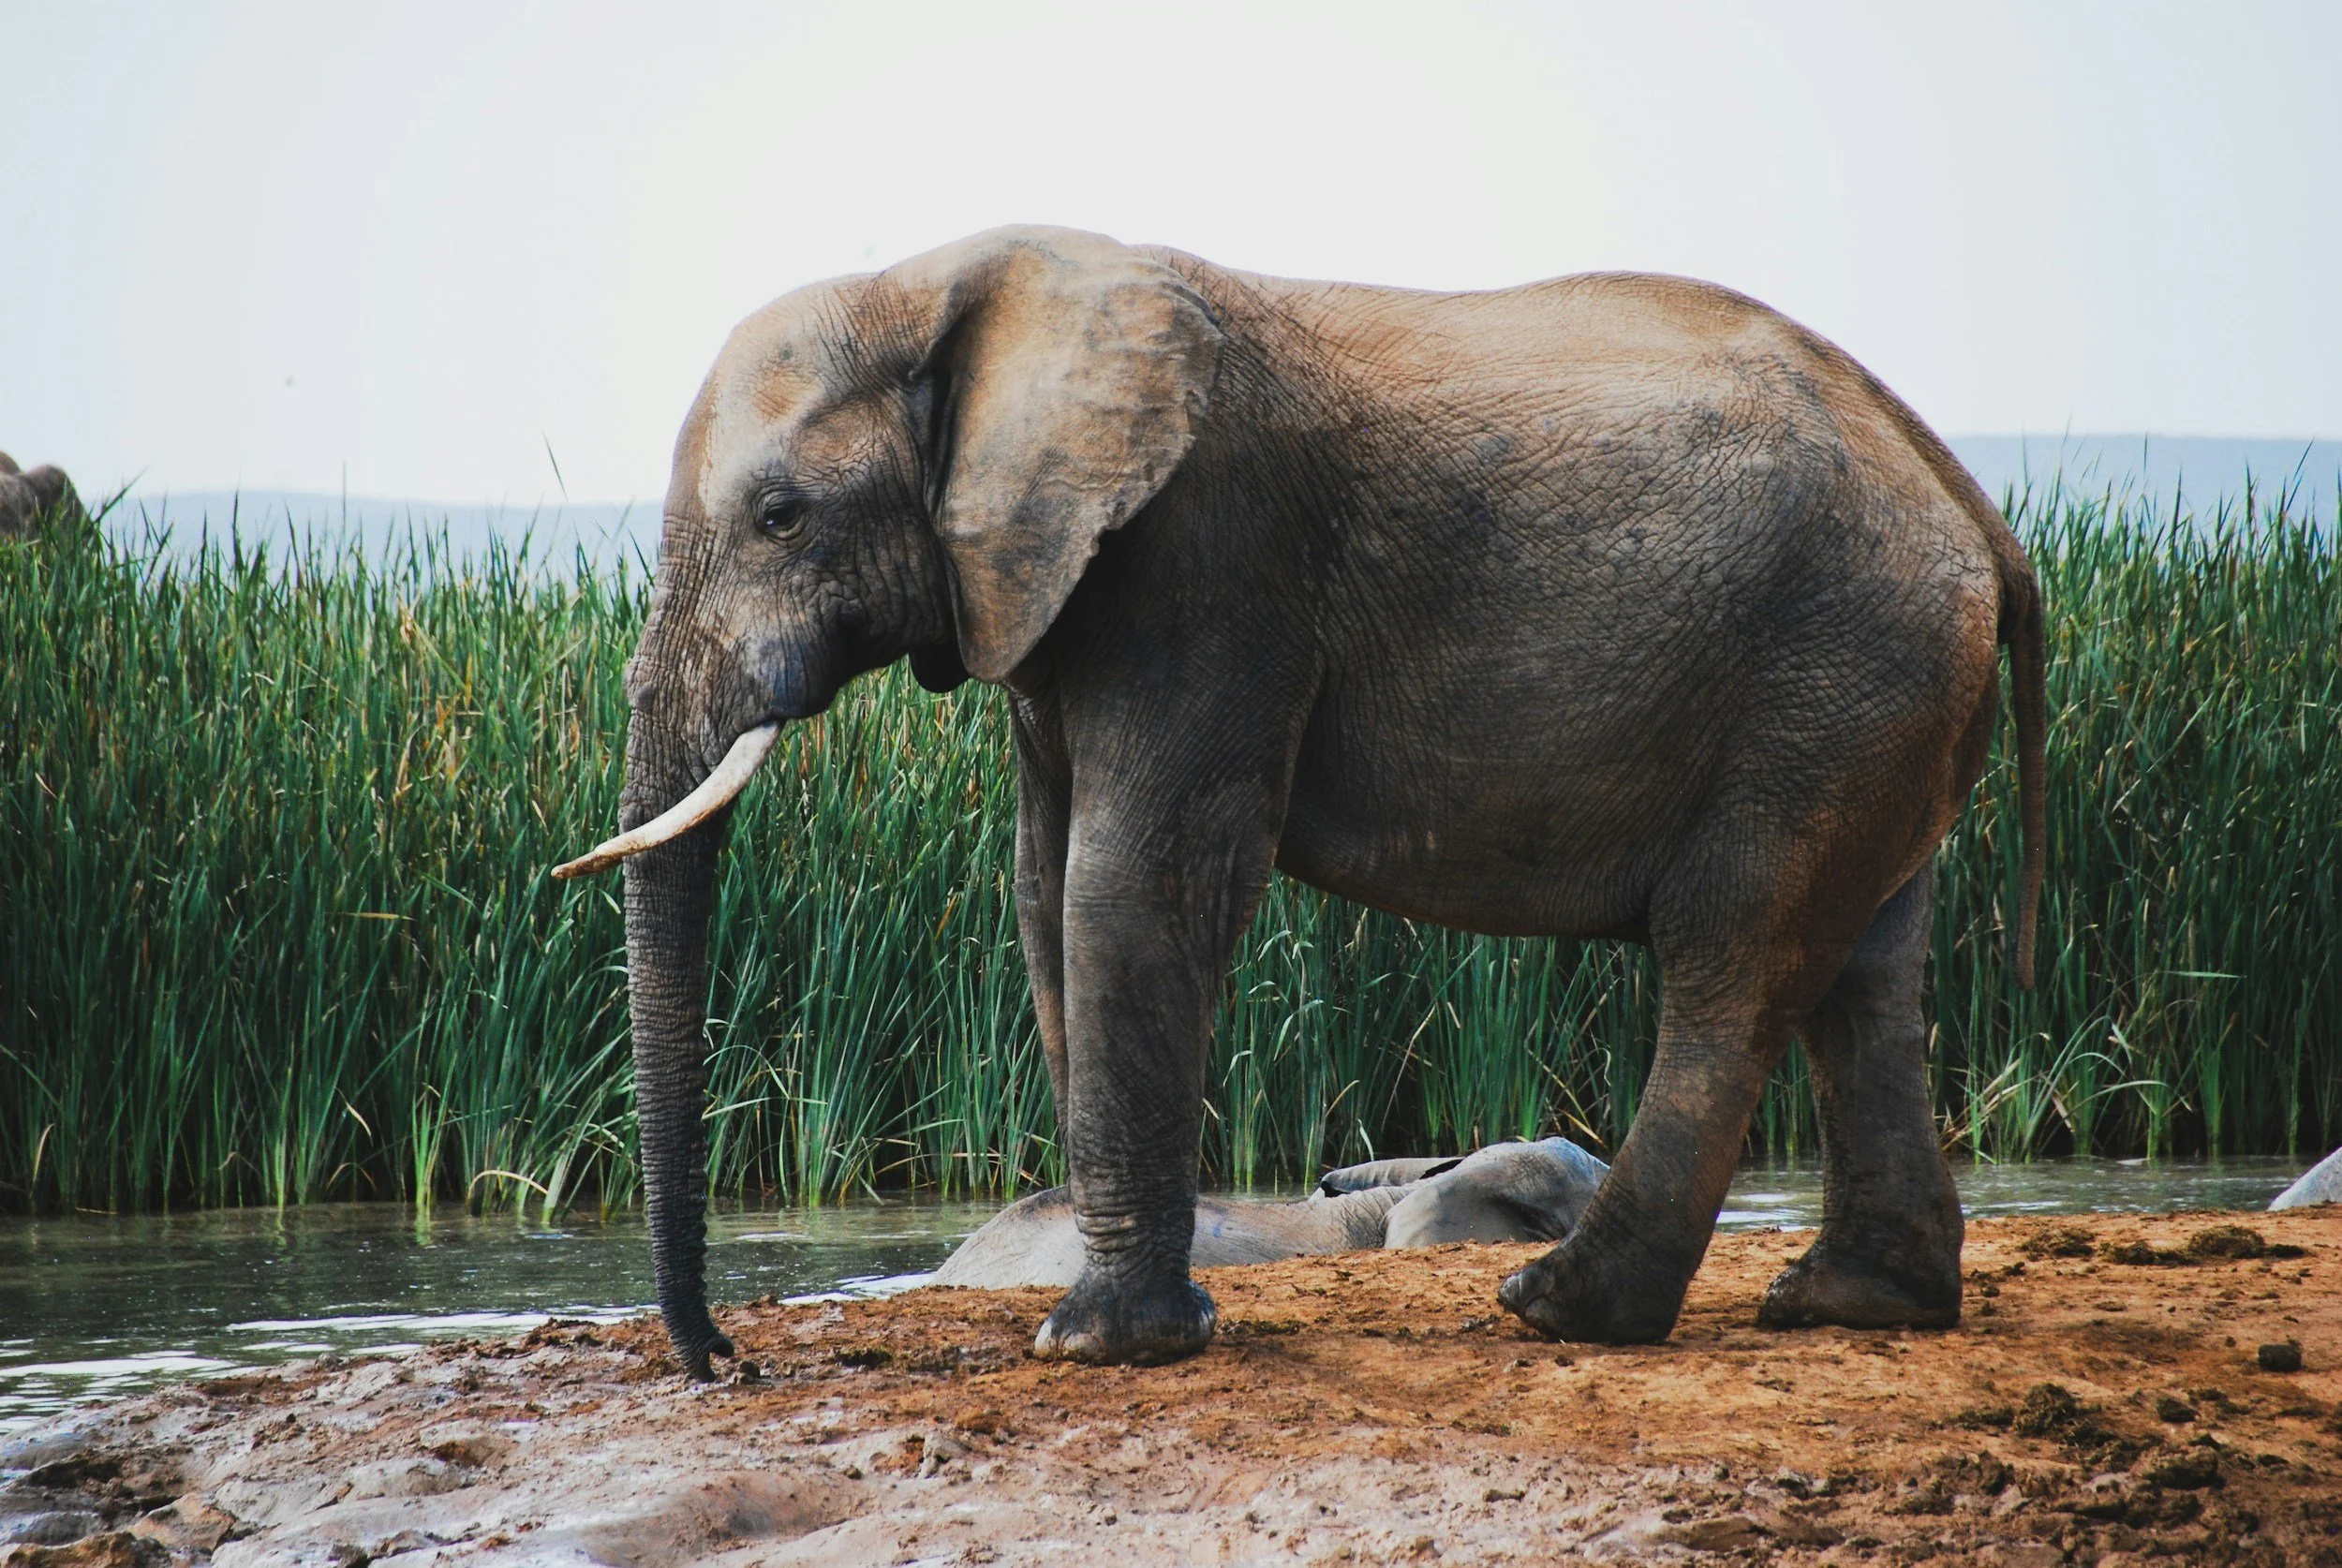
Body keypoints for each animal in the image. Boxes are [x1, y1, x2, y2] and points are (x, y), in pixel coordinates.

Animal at [554, 224, 2046, 1375]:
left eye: (780, 518)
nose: (727, 1360)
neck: (937, 281)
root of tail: (1979, 510)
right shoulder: (1049, 590)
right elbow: (1043, 887)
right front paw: (1116, 1322)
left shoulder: (1207, 560)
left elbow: (1130, 882)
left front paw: (1103, 1347)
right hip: (1877, 696)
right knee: (1865, 970)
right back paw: (1852, 1304)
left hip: (1828, 671)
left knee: (1734, 963)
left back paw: (1560, 1312)